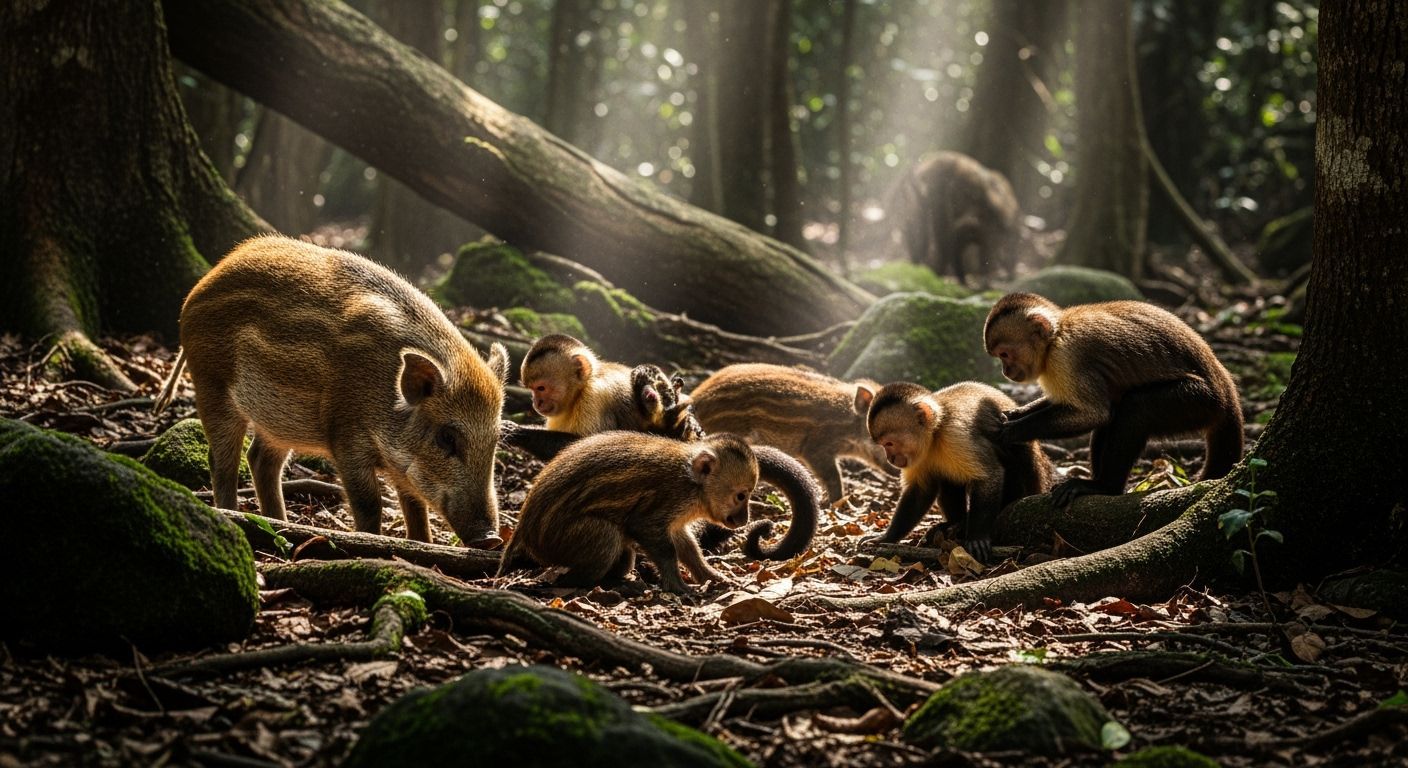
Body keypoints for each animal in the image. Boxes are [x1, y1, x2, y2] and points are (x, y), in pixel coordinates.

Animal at [154, 235, 508, 545]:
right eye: (446, 437)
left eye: (494, 442)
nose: (491, 539)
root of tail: (196, 291)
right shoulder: (346, 436)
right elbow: (369, 503)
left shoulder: (399, 464)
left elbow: (414, 506)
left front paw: (423, 544)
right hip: (211, 386)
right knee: (223, 462)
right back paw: (235, 516)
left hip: (277, 421)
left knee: (260, 460)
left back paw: (281, 525)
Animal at [497, 431, 758, 595]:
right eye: (741, 496)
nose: (744, 519)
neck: (694, 484)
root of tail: (524, 530)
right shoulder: (671, 494)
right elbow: (647, 530)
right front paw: (676, 584)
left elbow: (686, 545)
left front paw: (710, 576)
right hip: (555, 542)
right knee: (607, 537)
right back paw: (576, 583)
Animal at [856, 381, 1052, 562]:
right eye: (883, 445)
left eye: (889, 444)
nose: (891, 458)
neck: (935, 434)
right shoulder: (918, 456)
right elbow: (920, 491)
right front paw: (886, 537)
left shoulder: (956, 434)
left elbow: (990, 476)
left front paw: (977, 536)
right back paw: (954, 523)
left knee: (1018, 453)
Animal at [983, 292, 1244, 507]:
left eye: (1005, 354)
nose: (1005, 371)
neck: (1055, 336)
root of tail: (1227, 387)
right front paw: (1013, 414)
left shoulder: (1066, 357)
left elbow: (1093, 413)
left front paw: (1011, 431)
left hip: (1201, 402)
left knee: (1135, 408)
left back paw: (1105, 487)